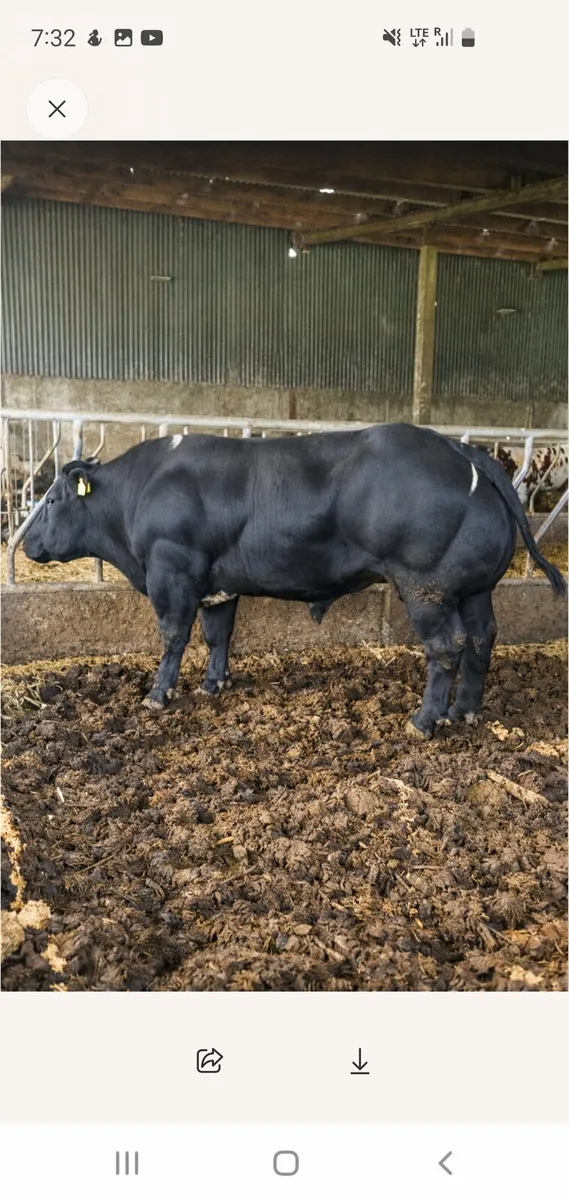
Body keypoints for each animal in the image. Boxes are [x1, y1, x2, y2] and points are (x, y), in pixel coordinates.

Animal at [23, 424, 566, 739]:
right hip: (474, 589)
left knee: (447, 647)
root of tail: (461, 449)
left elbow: (174, 636)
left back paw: (424, 721)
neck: (143, 491)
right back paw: (465, 712)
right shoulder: (219, 583)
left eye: (50, 500)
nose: (27, 544)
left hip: (426, 588)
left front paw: (159, 695)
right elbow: (218, 634)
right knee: (481, 639)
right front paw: (215, 684)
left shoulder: (171, 572)